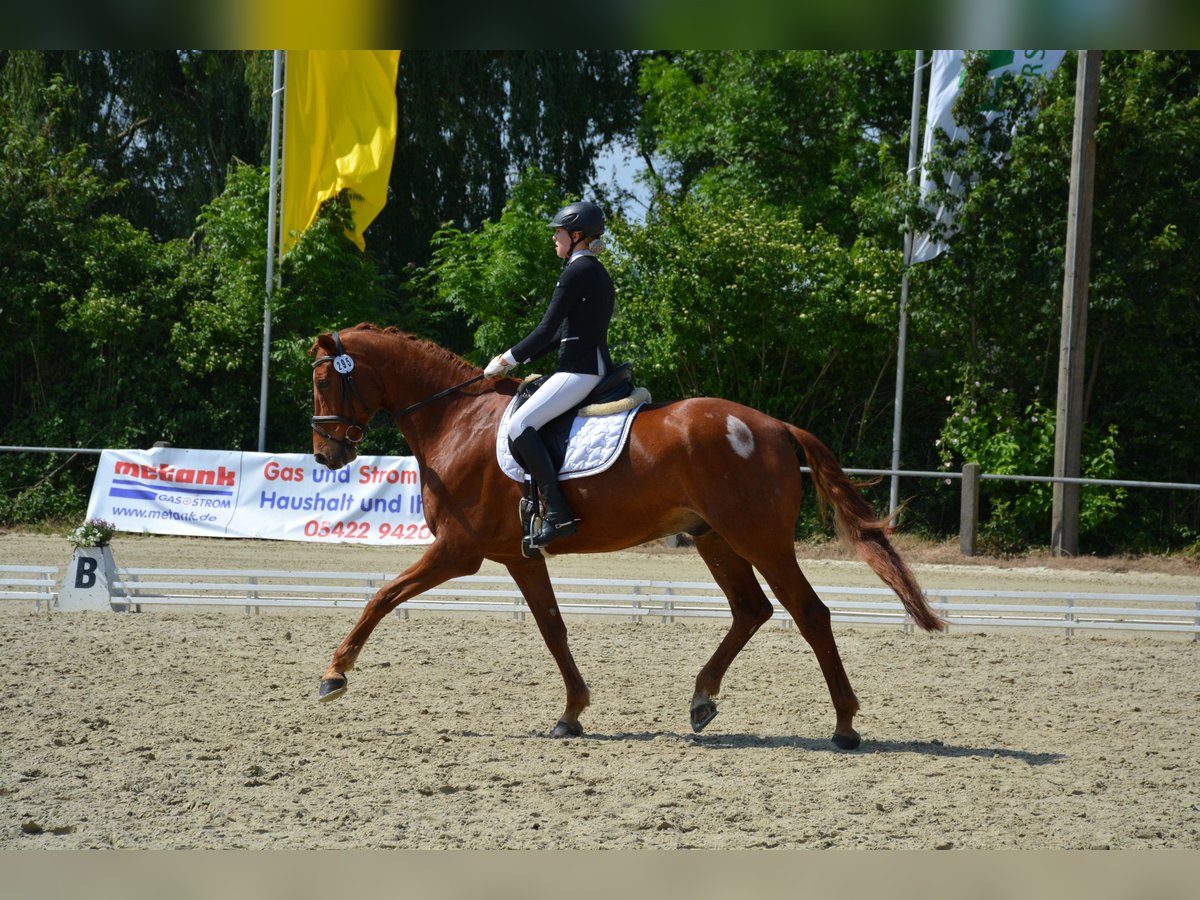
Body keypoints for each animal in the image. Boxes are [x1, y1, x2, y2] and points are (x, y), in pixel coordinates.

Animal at [312, 321, 945, 748]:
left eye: (323, 381)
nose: (325, 455)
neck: (457, 421)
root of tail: (772, 425)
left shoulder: (457, 551)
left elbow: (382, 596)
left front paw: (334, 675)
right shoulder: (517, 555)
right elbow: (553, 628)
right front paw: (571, 713)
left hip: (758, 538)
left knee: (809, 612)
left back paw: (844, 726)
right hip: (715, 538)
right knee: (752, 610)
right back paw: (702, 700)